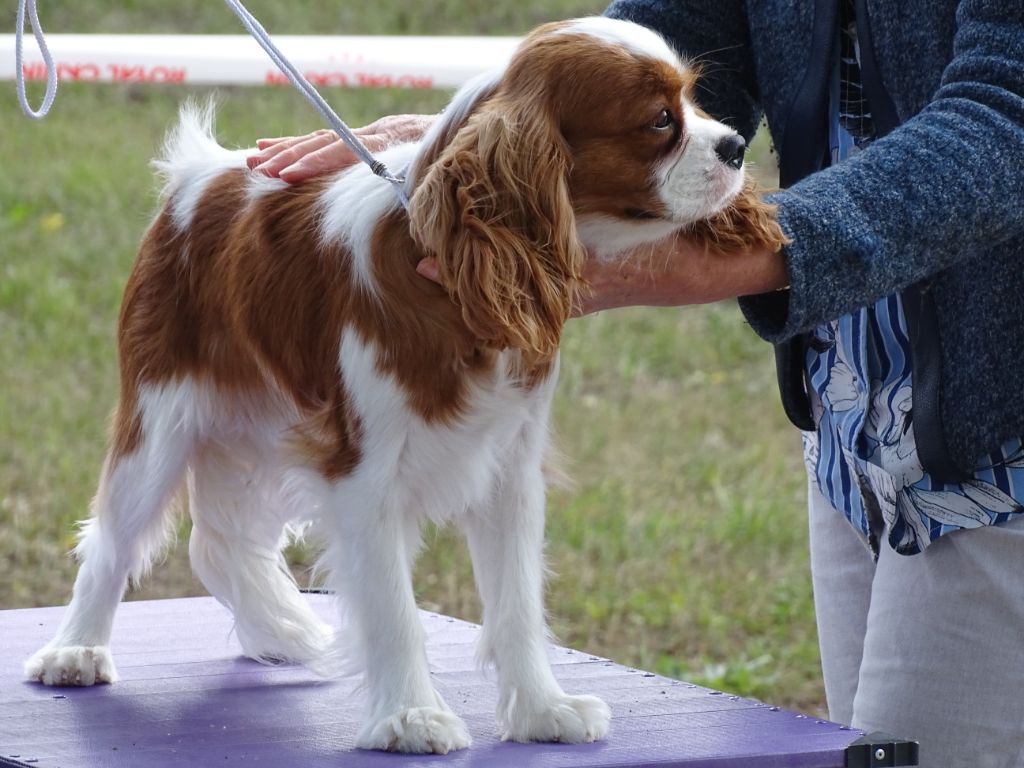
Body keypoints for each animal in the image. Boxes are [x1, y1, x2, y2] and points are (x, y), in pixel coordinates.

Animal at [24, 16, 782, 757]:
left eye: (695, 100)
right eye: (659, 121)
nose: (736, 144)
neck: (452, 274)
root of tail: (202, 171)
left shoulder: (509, 469)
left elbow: (517, 604)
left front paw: (542, 710)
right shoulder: (362, 473)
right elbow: (394, 610)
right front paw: (410, 719)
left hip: (259, 424)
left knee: (220, 543)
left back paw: (281, 631)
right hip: (162, 416)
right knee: (113, 539)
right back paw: (75, 652)